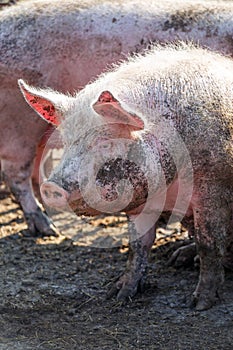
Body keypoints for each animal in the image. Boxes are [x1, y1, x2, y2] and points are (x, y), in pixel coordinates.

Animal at [18, 42, 233, 310]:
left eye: (106, 142)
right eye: (66, 142)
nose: (50, 187)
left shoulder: (214, 187)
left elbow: (209, 244)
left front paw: (198, 304)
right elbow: (138, 246)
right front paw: (117, 293)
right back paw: (177, 258)